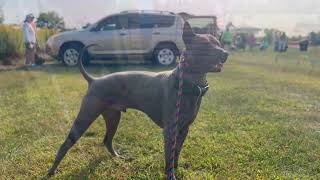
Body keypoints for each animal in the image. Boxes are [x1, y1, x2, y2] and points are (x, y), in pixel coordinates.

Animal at [47, 21, 228, 178]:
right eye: (205, 45)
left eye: (218, 43)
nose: (225, 53)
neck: (188, 84)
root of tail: (94, 80)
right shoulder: (170, 130)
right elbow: (169, 156)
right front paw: (170, 174)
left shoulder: (184, 129)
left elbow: (176, 152)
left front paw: (176, 169)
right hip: (85, 117)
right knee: (65, 144)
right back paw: (52, 171)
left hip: (113, 117)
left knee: (107, 140)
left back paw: (118, 157)